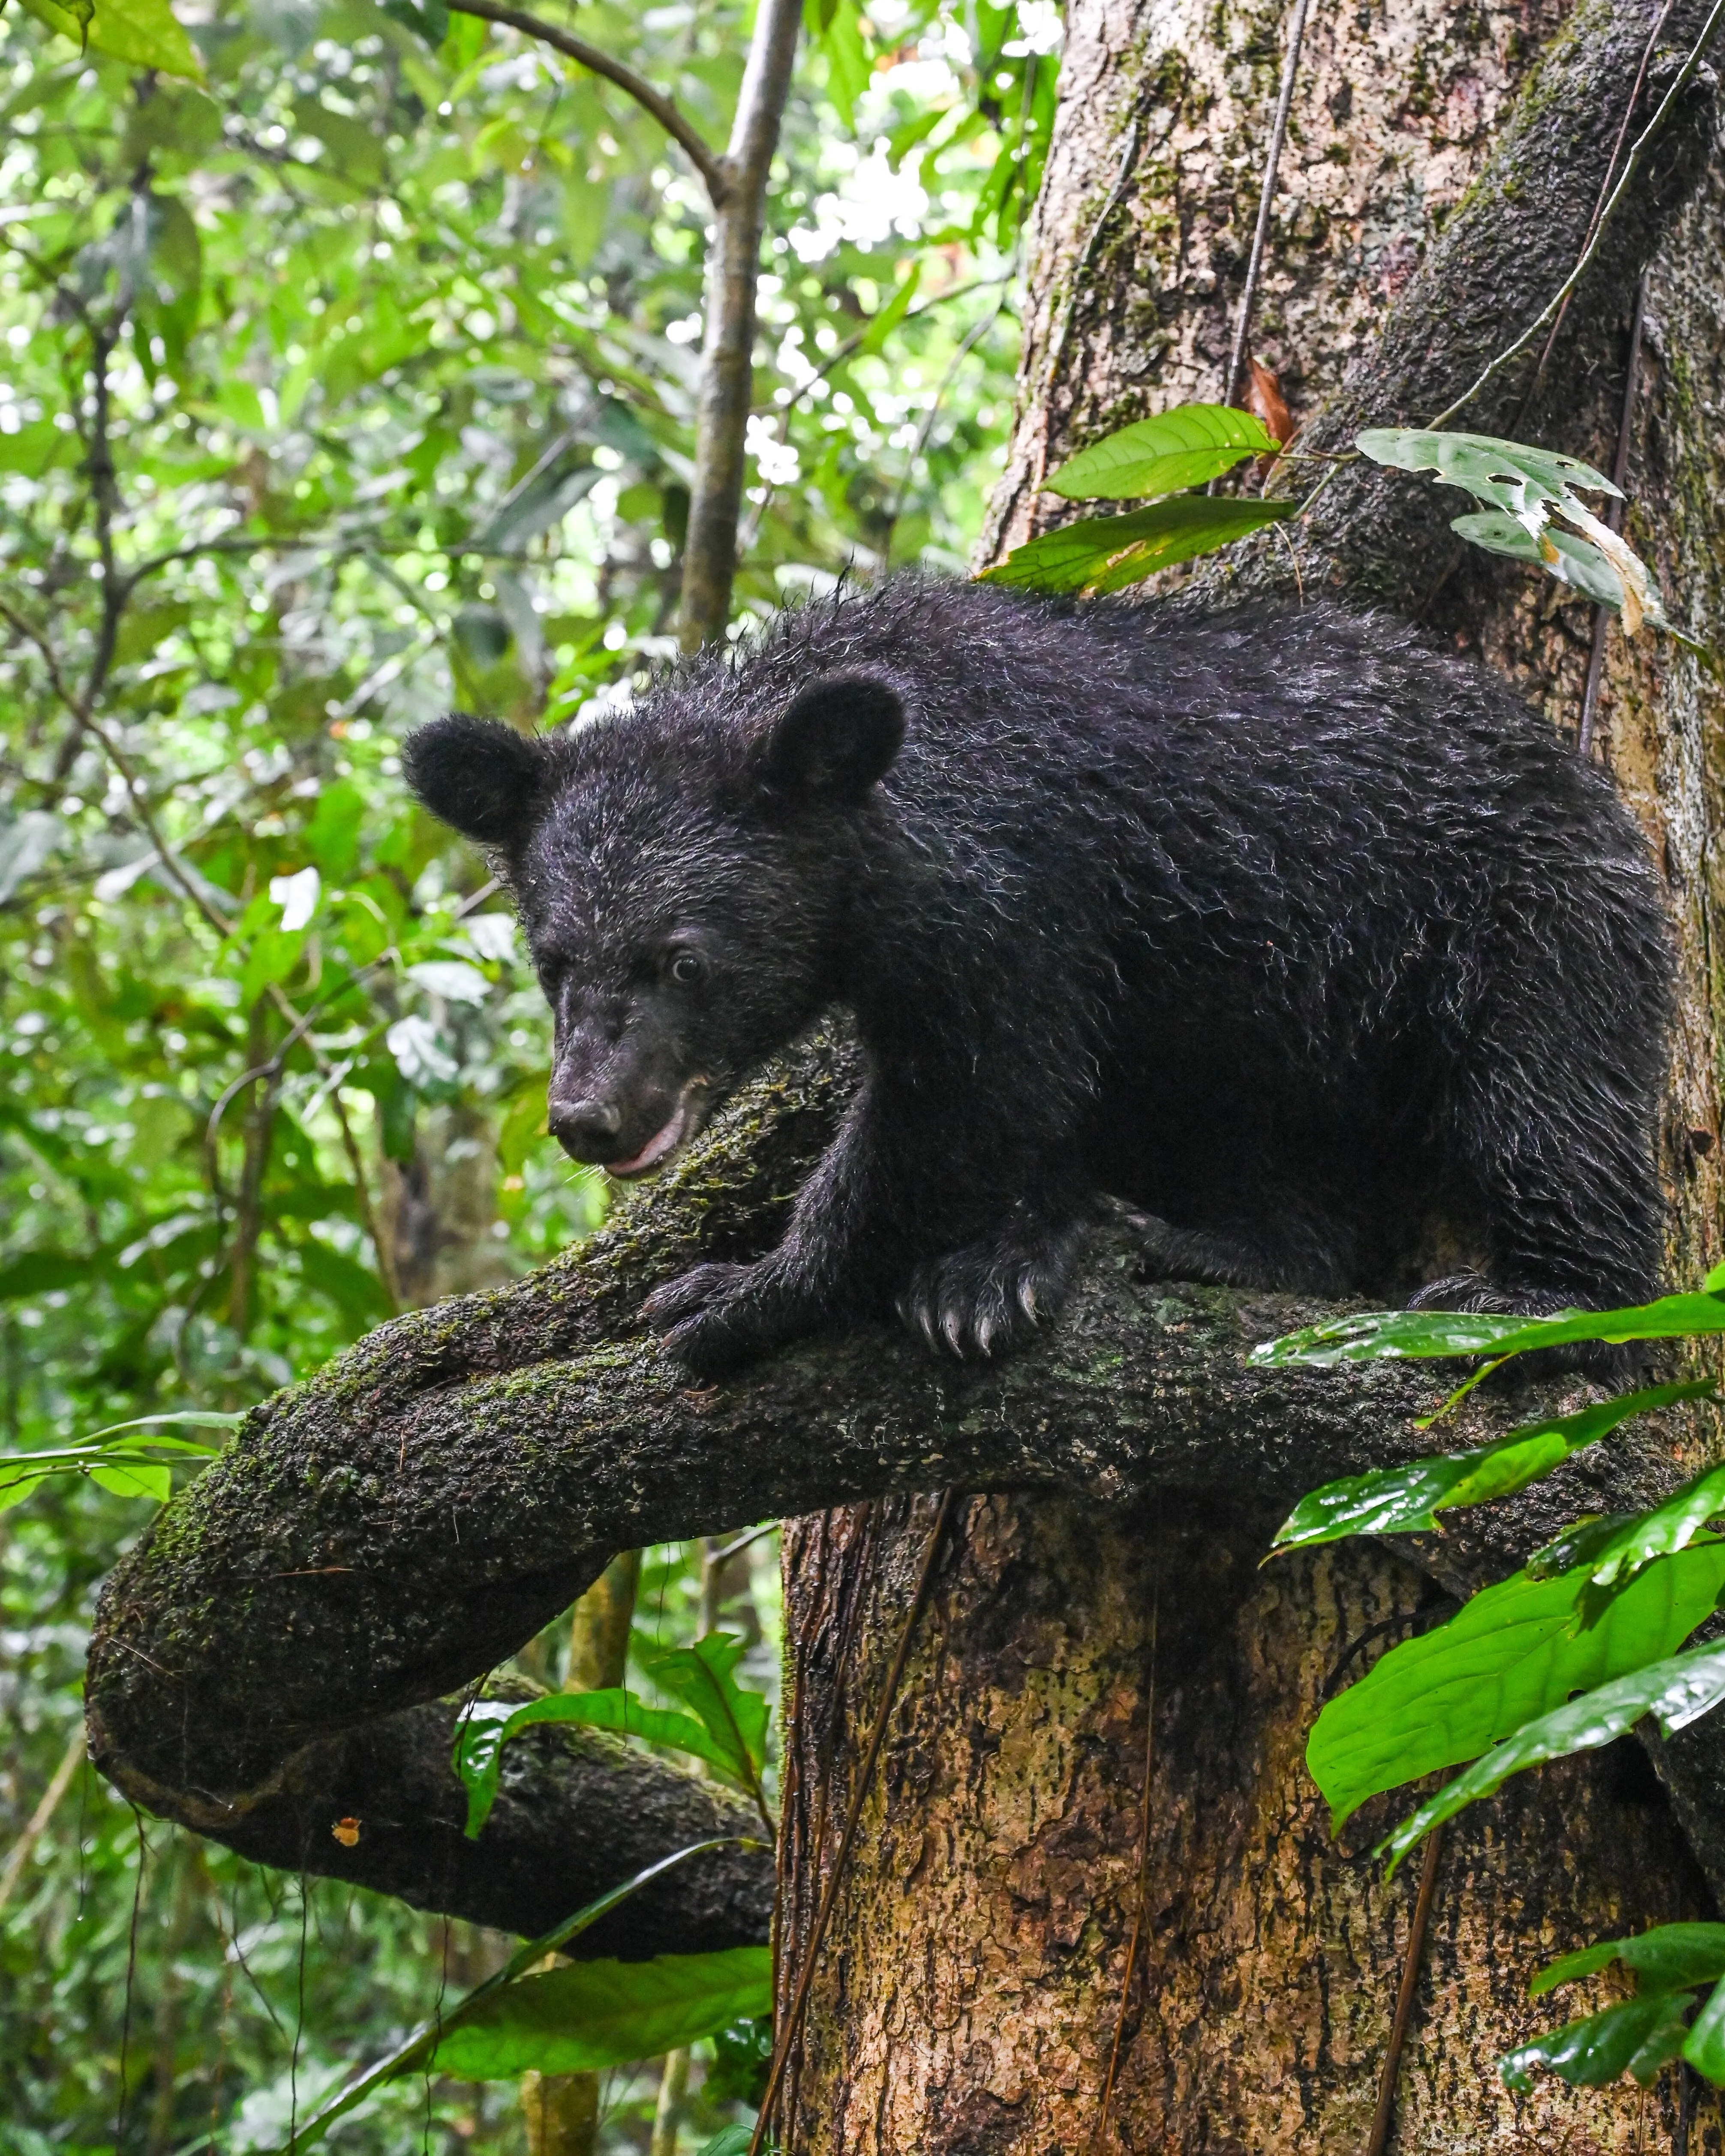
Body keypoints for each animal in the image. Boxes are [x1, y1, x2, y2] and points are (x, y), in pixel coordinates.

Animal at [402, 575, 1674, 1378]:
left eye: (683, 959)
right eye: (553, 961)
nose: (591, 1118)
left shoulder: (1017, 896)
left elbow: (971, 1098)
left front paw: (747, 1287)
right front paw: (1003, 1260)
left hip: (1535, 925)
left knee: (1551, 1105)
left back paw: (1545, 1297)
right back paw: (1215, 1239)